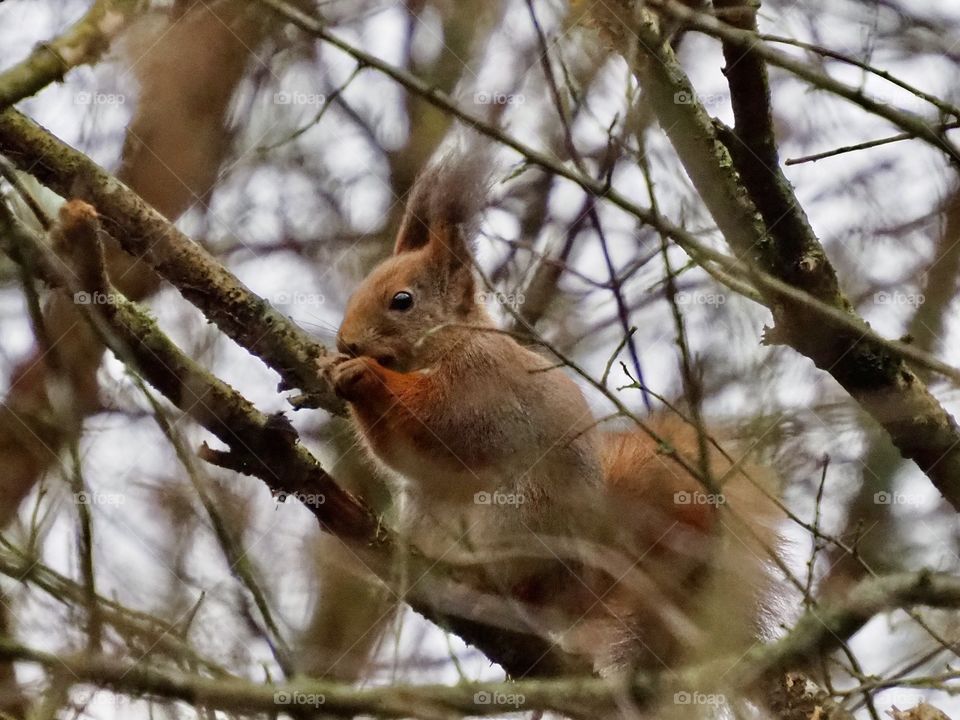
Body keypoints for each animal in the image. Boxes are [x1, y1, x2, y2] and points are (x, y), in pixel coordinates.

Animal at [325, 152, 779, 674]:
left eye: (402, 300)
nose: (346, 343)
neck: (450, 342)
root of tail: (577, 585)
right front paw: (331, 368)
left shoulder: (482, 388)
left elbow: (439, 421)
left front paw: (367, 376)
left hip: (516, 518)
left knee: (518, 590)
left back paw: (479, 584)